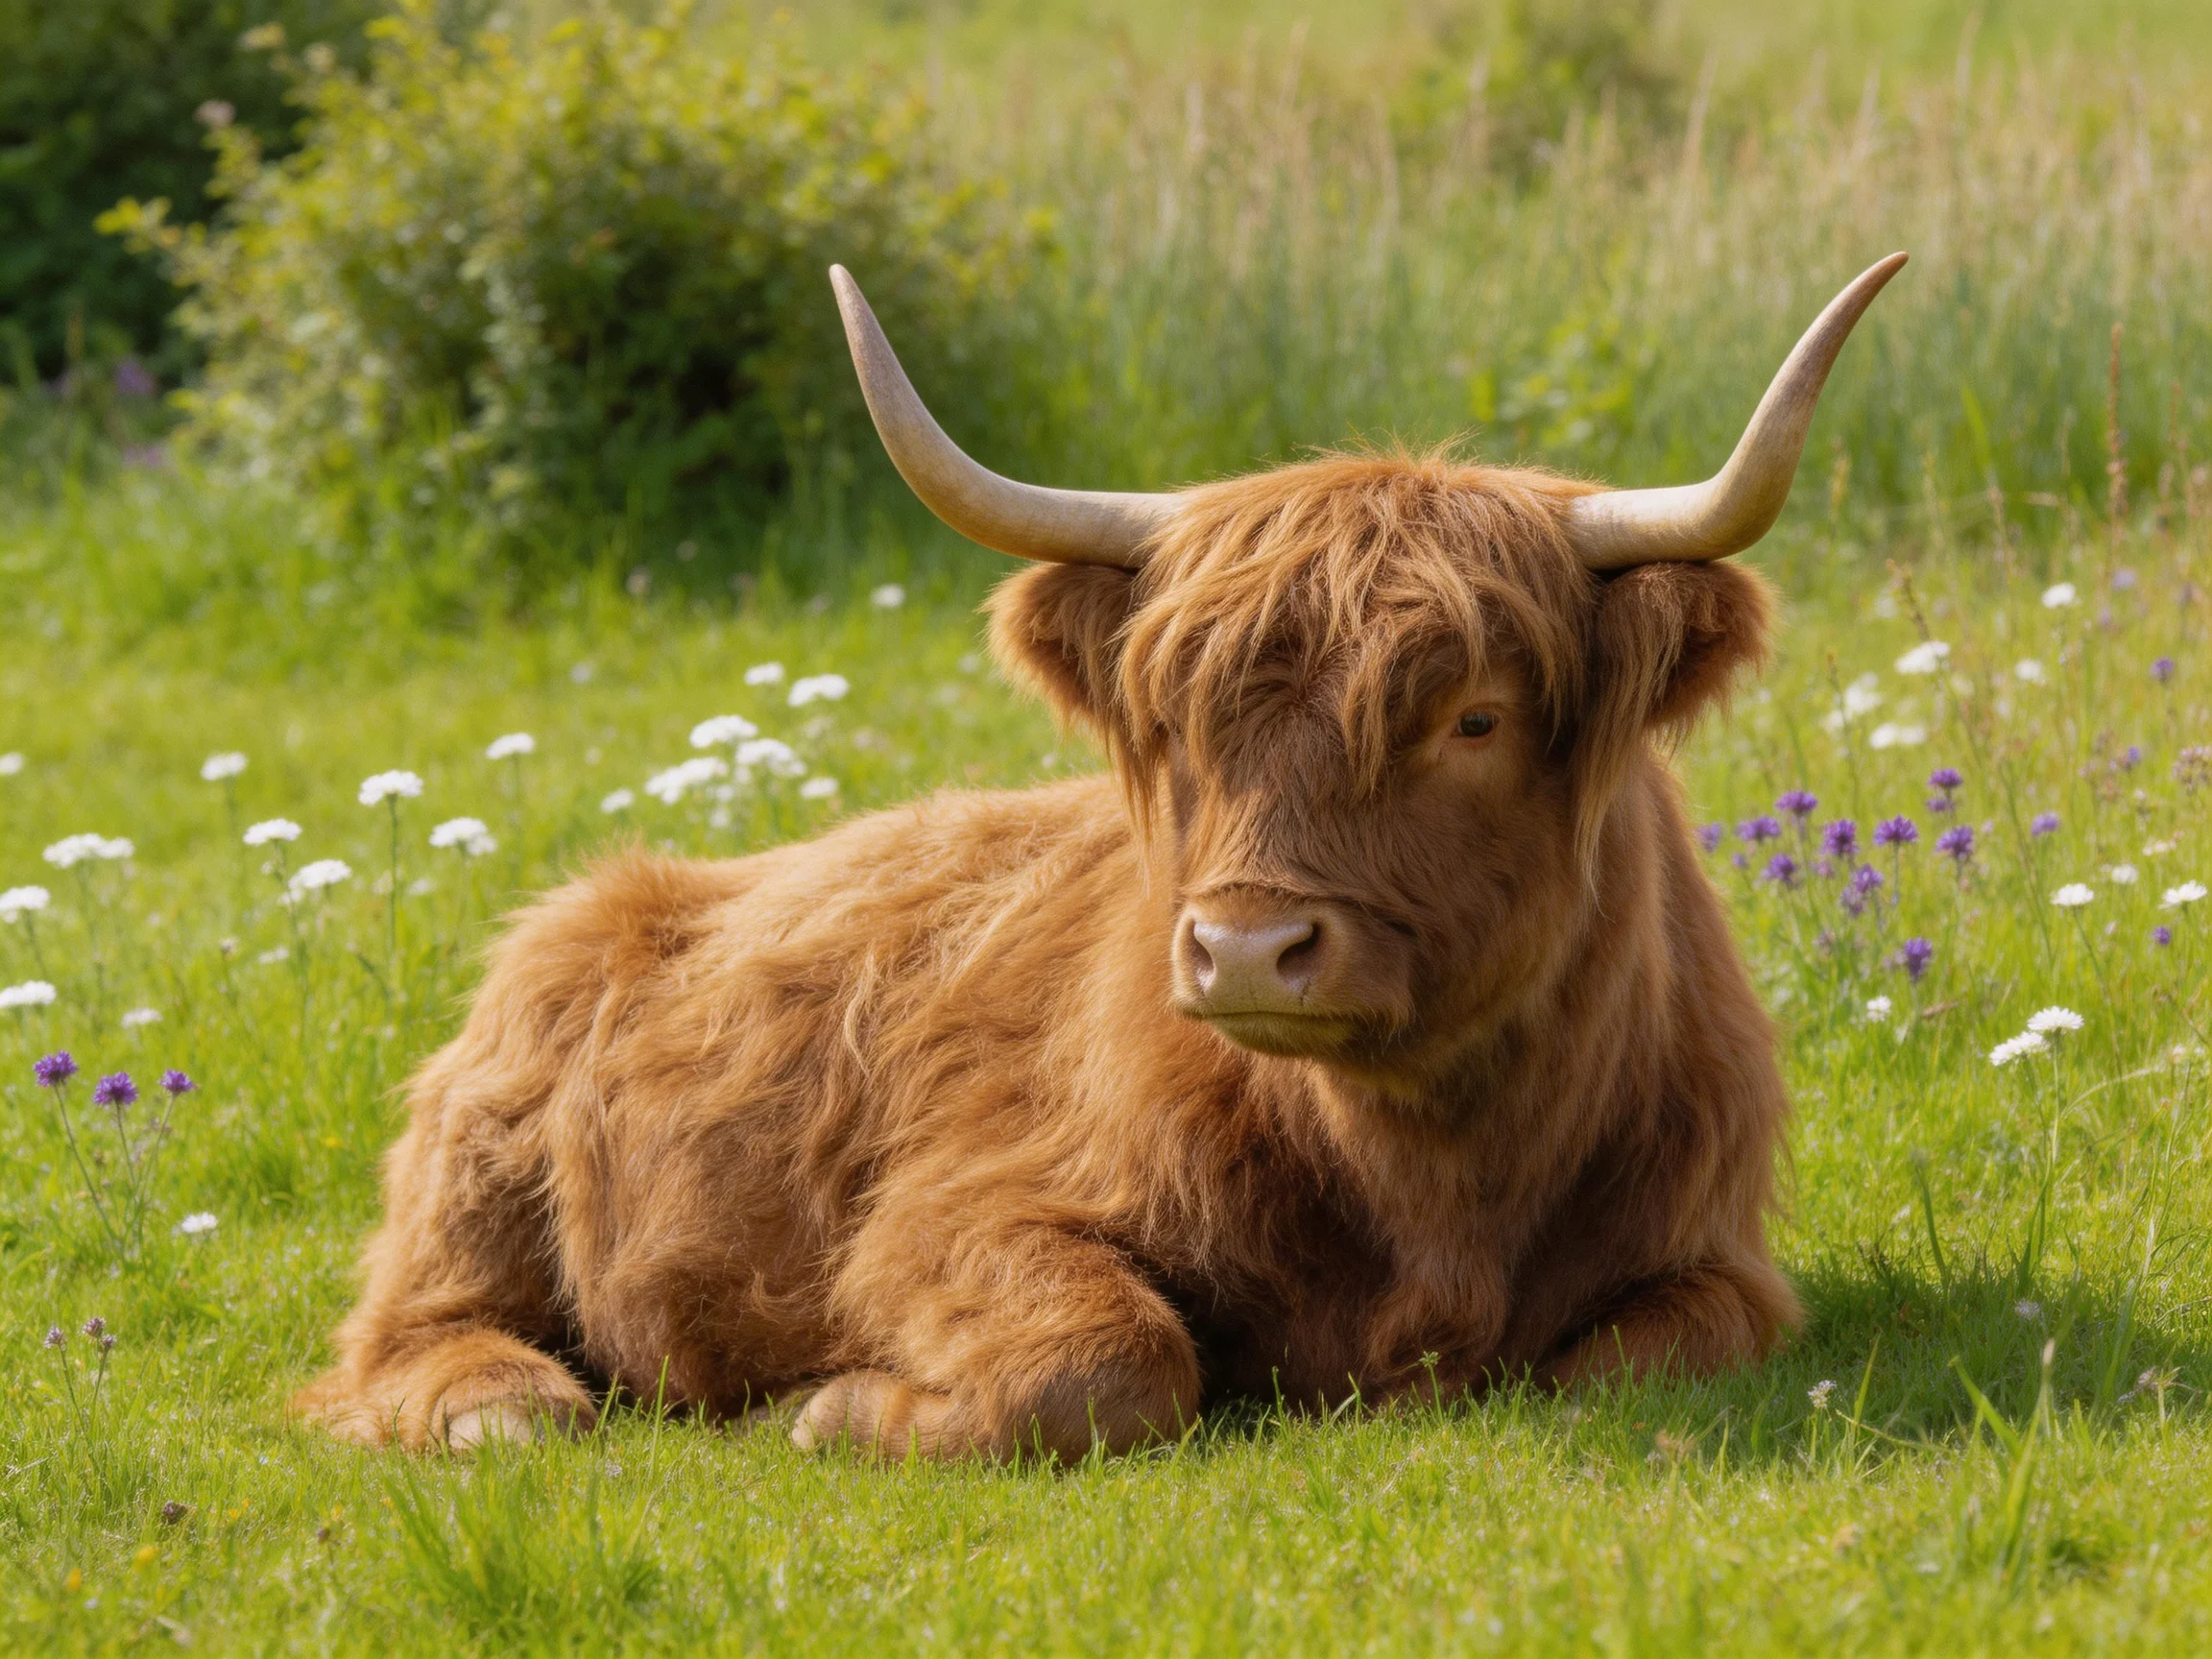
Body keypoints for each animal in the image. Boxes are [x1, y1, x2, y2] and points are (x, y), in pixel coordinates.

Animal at [295, 254, 1907, 1459]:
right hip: (480, 1155)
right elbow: (1114, 1360)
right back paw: (499, 1407)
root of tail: (627, 892)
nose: (1248, 948)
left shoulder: (1718, 1255)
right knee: (402, 1333)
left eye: (1476, 718)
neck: (1428, 1171)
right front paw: (836, 1409)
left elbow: (1643, 1362)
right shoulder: (954, 1212)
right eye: (1176, 724)